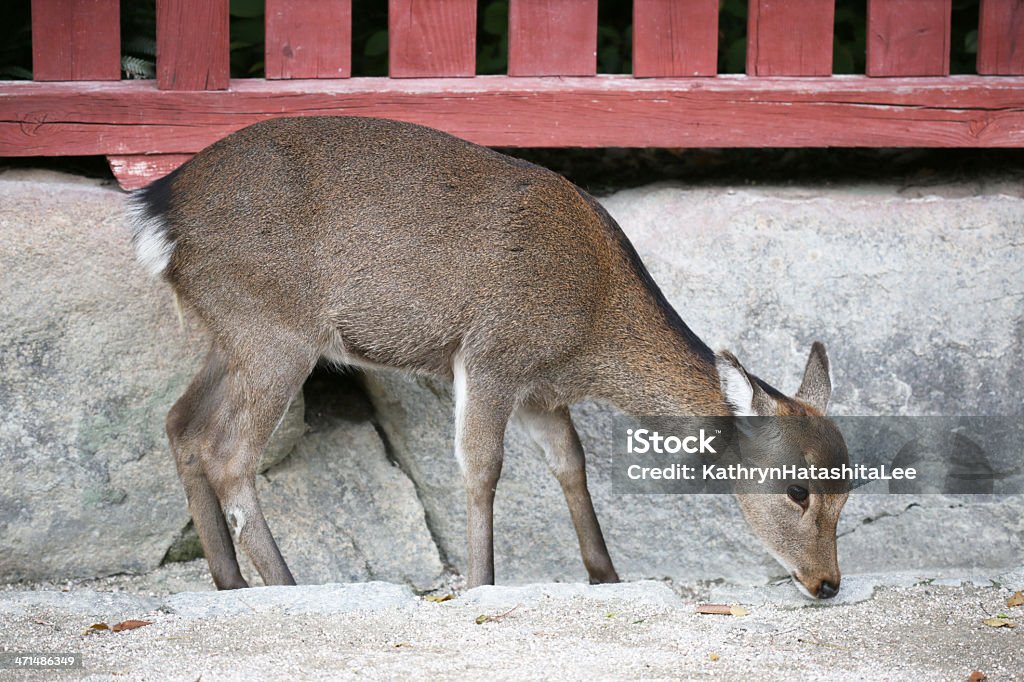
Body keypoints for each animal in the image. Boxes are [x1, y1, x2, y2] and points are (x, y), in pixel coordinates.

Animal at [128, 114, 847, 598]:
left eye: (849, 491)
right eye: (797, 490)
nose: (827, 584)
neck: (589, 335)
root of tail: (156, 211)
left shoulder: (541, 393)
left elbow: (571, 466)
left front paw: (606, 575)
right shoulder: (493, 354)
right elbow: (482, 467)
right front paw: (480, 584)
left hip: (230, 330)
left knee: (181, 422)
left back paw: (229, 582)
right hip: (274, 328)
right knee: (228, 451)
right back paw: (285, 583)